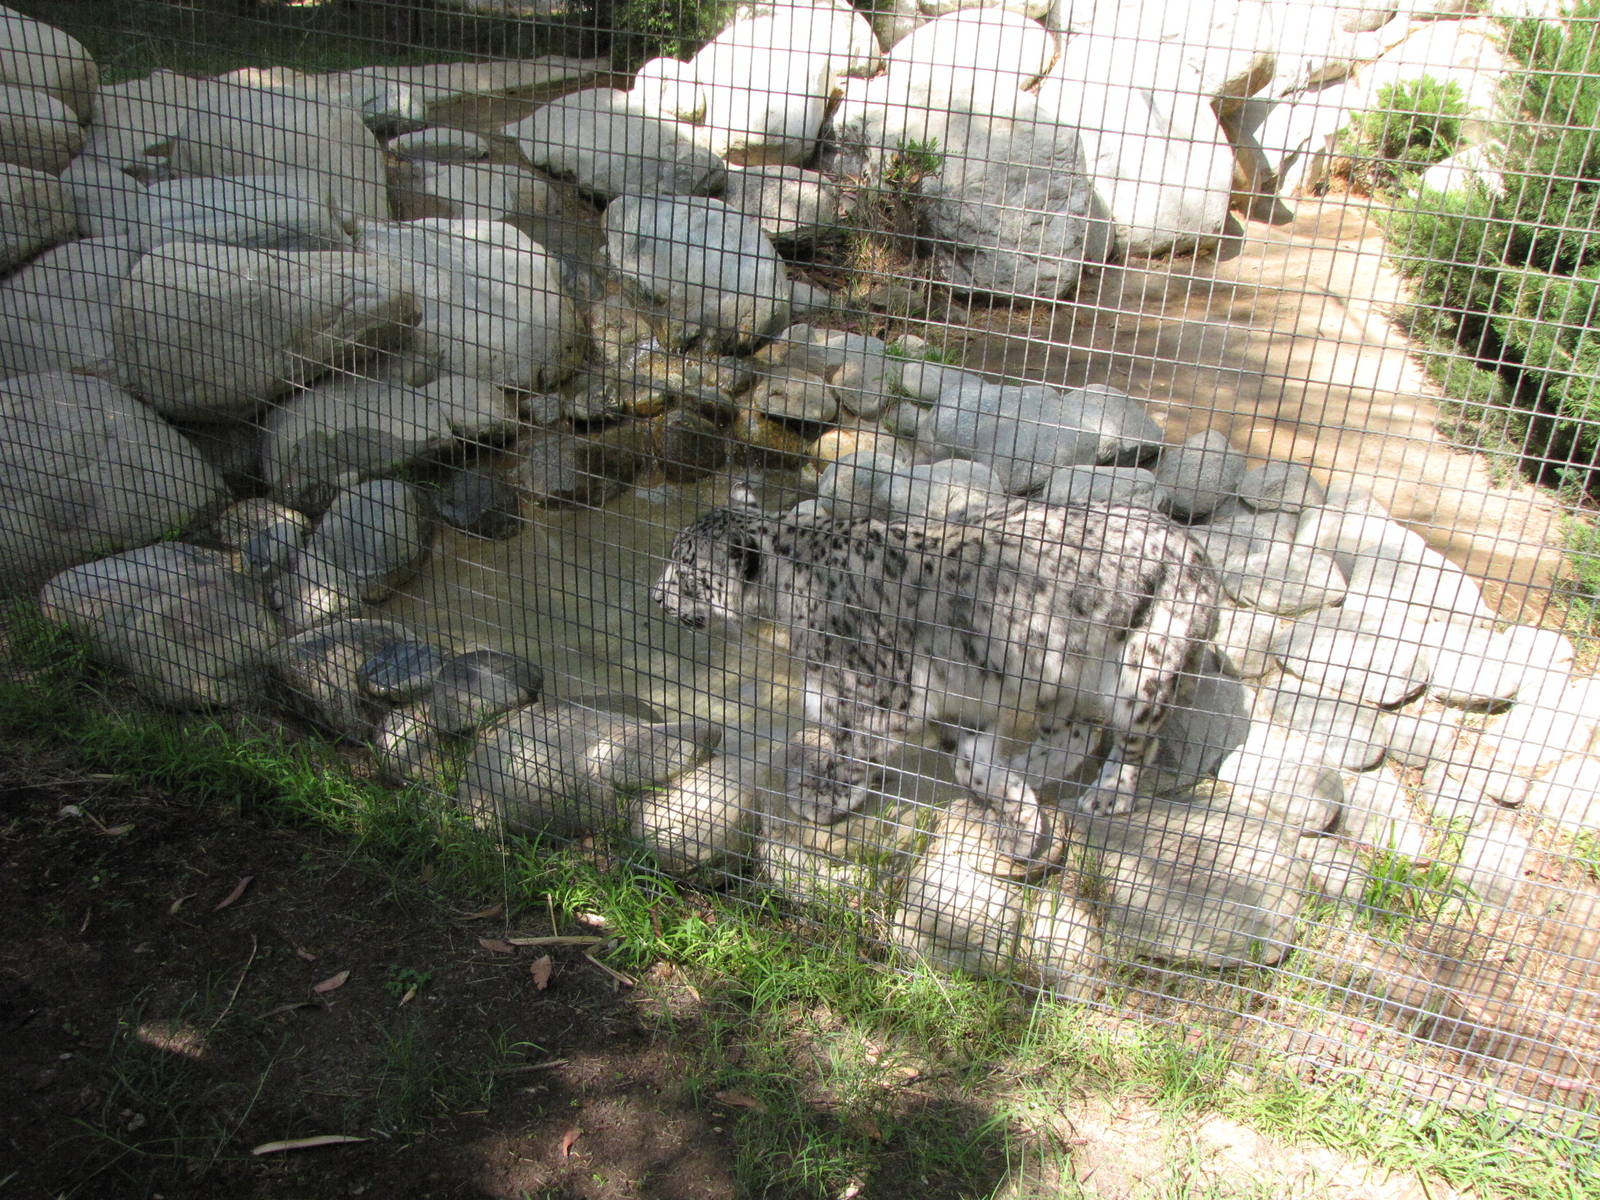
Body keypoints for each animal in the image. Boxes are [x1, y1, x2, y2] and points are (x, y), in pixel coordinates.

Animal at [652, 482, 1219, 867]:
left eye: (685, 570)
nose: (655, 595)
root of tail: (1193, 544)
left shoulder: (882, 694)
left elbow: (858, 750)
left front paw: (825, 798)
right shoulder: (951, 701)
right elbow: (966, 760)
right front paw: (1018, 811)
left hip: (1143, 667)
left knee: (1134, 738)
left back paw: (1109, 792)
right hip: (1061, 676)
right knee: (1075, 731)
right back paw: (1031, 767)